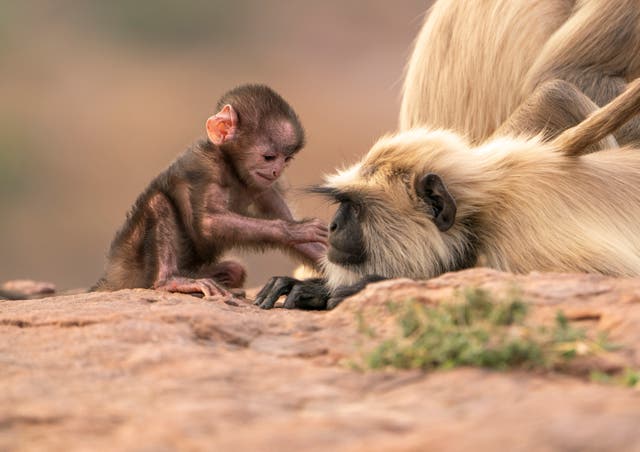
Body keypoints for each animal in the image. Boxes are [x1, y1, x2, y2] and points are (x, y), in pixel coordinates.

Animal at [93, 84, 328, 297]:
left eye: (286, 159)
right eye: (269, 157)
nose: (276, 171)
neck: (233, 169)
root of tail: (112, 276)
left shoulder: (266, 189)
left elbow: (306, 246)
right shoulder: (210, 168)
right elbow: (208, 222)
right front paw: (297, 229)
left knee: (235, 270)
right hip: (131, 263)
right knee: (158, 202)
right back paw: (170, 281)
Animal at [255, 78, 640, 310]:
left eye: (355, 207)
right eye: (342, 206)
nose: (332, 226)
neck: (477, 221)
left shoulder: (524, 244)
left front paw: (343, 290)